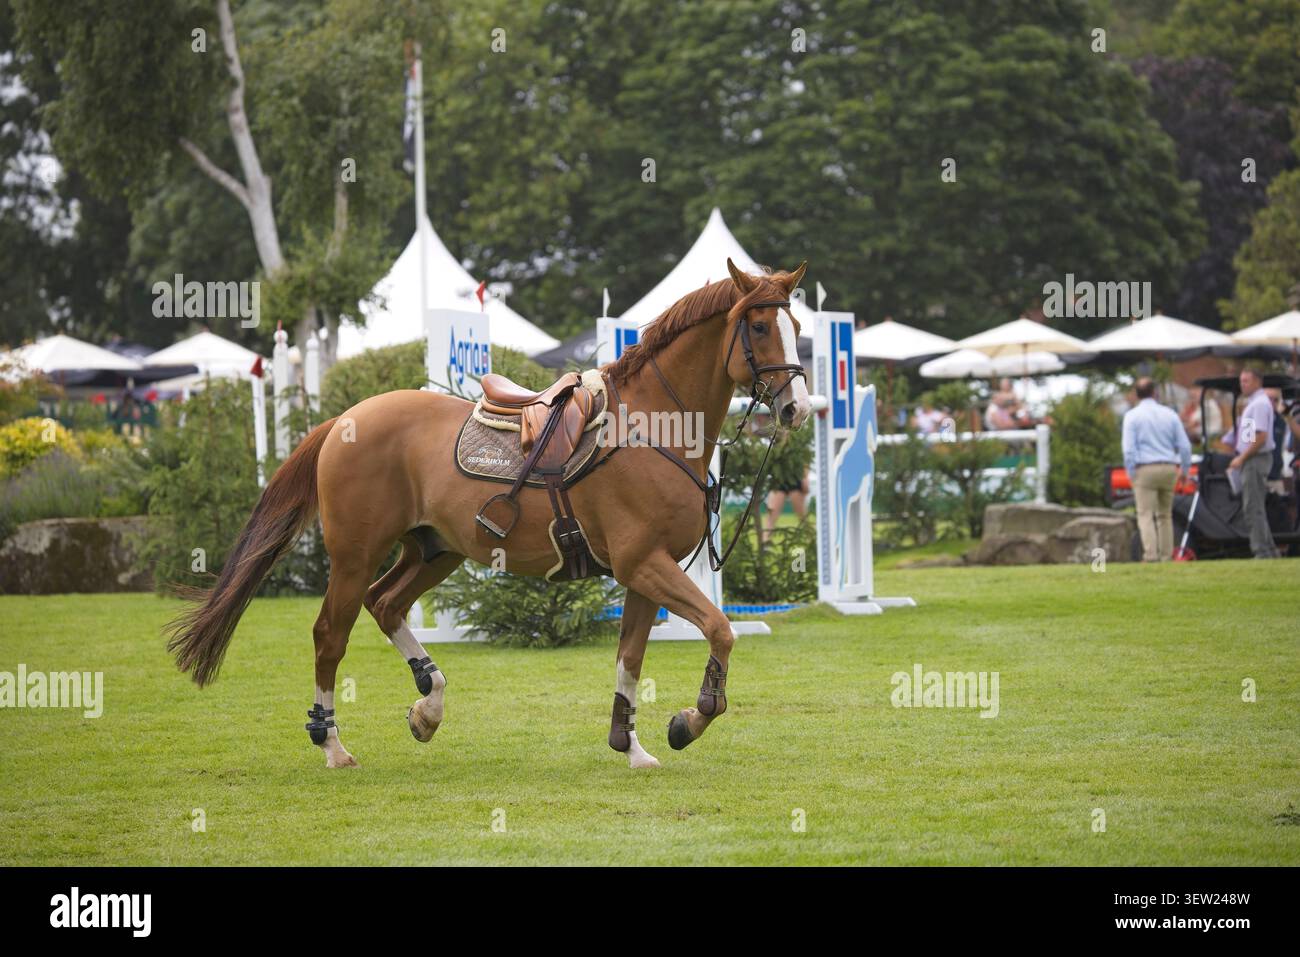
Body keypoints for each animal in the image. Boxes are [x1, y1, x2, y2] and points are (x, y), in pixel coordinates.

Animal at [165, 258, 811, 769]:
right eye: (759, 327)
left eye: (798, 328)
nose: (797, 408)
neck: (654, 426)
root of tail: (344, 418)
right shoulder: (644, 565)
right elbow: (720, 628)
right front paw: (690, 720)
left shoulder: (644, 574)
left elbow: (631, 657)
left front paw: (630, 745)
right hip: (355, 554)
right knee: (331, 632)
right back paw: (332, 743)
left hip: (435, 549)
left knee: (386, 604)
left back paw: (428, 704)